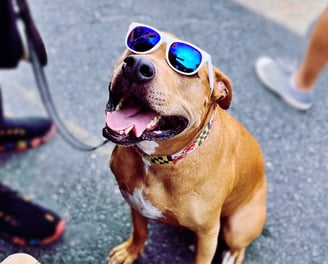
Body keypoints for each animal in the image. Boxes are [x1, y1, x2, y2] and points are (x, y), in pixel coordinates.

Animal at [102, 23, 266, 264]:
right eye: (139, 45)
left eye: (184, 68)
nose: (137, 65)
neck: (160, 161)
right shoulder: (134, 203)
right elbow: (140, 230)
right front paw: (131, 251)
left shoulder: (208, 234)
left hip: (236, 227)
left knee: (238, 243)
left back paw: (233, 255)